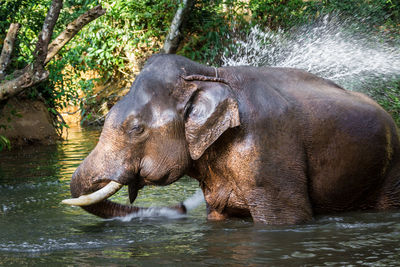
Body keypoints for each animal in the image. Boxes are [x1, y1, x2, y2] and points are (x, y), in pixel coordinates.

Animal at [62, 53, 400, 225]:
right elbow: (217, 214)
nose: (180, 207)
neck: (209, 74)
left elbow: (287, 218)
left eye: (136, 129)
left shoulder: (268, 151)